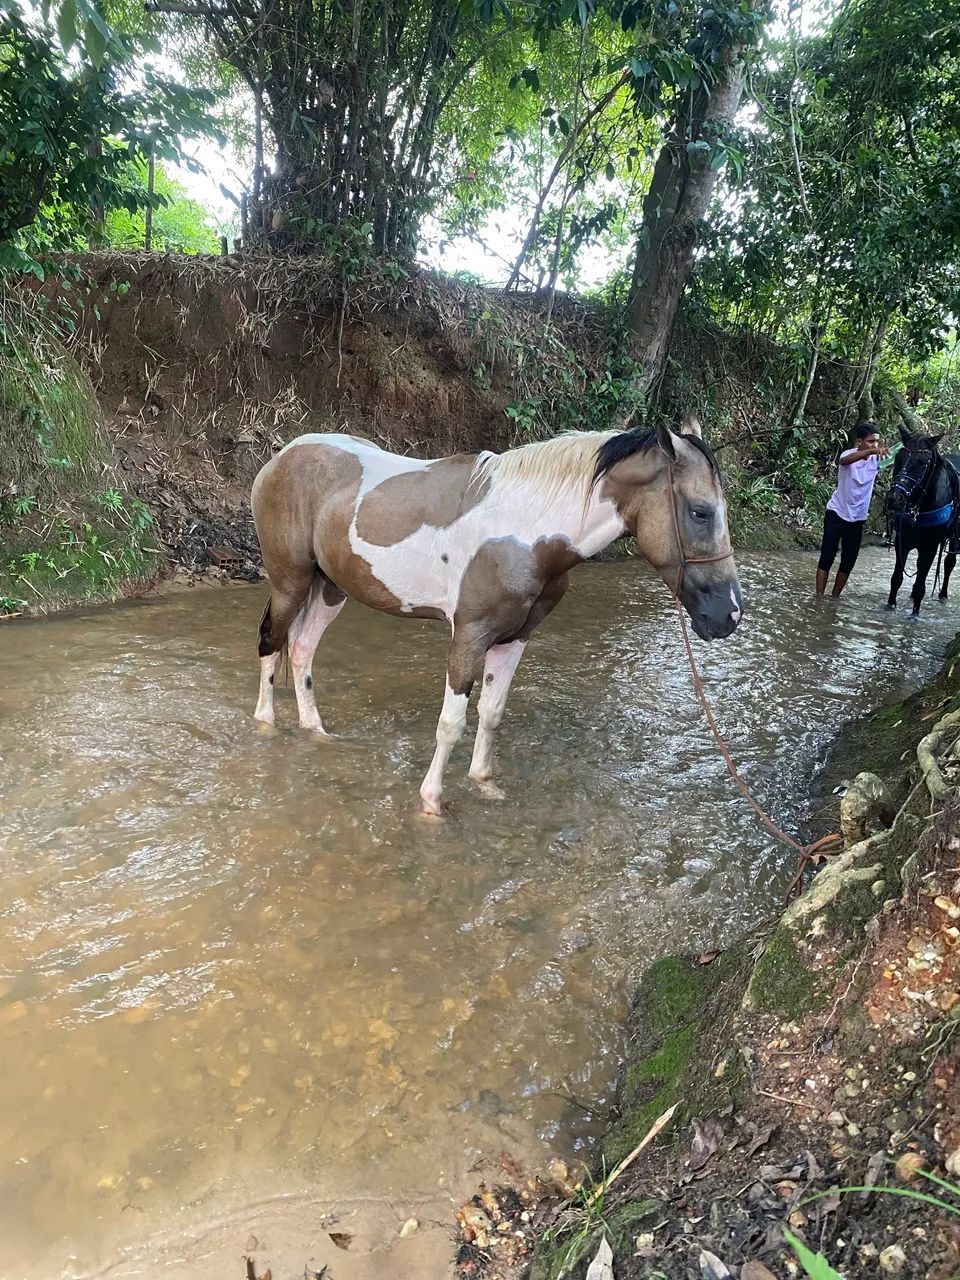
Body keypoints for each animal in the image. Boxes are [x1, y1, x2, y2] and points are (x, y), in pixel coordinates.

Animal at [250, 420, 743, 815]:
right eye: (700, 512)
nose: (729, 614)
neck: (524, 531)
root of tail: (281, 456)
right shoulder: (469, 636)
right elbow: (452, 723)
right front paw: (432, 802)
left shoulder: (514, 638)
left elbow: (491, 712)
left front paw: (484, 784)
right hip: (291, 582)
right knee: (272, 642)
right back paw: (266, 724)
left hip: (331, 589)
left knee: (302, 648)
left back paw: (316, 731)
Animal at [886, 426, 960, 619]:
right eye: (898, 457)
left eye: (922, 463)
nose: (895, 498)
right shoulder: (902, 541)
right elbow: (896, 578)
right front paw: (890, 605)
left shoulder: (930, 546)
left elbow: (921, 584)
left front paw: (914, 614)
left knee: (949, 562)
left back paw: (942, 594)